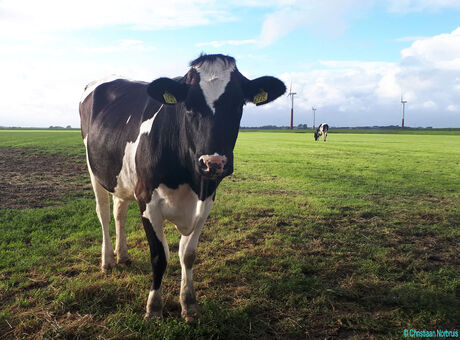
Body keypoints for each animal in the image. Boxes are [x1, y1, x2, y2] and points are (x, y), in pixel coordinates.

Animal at [81, 53, 286, 322]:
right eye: (188, 106)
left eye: (239, 104)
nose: (213, 163)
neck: (190, 179)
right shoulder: (147, 199)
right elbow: (160, 256)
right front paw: (154, 308)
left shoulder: (206, 201)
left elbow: (187, 255)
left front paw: (189, 304)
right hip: (95, 171)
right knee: (104, 213)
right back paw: (107, 261)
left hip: (121, 178)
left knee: (119, 212)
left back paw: (122, 255)